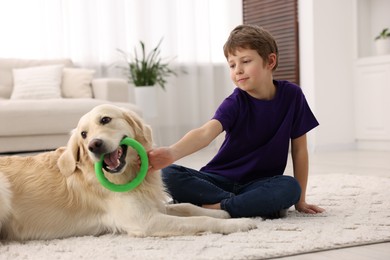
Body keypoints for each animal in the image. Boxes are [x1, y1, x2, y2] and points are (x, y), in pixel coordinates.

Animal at [0, 102, 256, 241]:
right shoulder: (145, 221)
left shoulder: (152, 205)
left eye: (105, 119)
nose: (94, 145)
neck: (128, 174)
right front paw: (240, 223)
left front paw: (224, 213)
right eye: (83, 134)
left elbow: (188, 207)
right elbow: (199, 221)